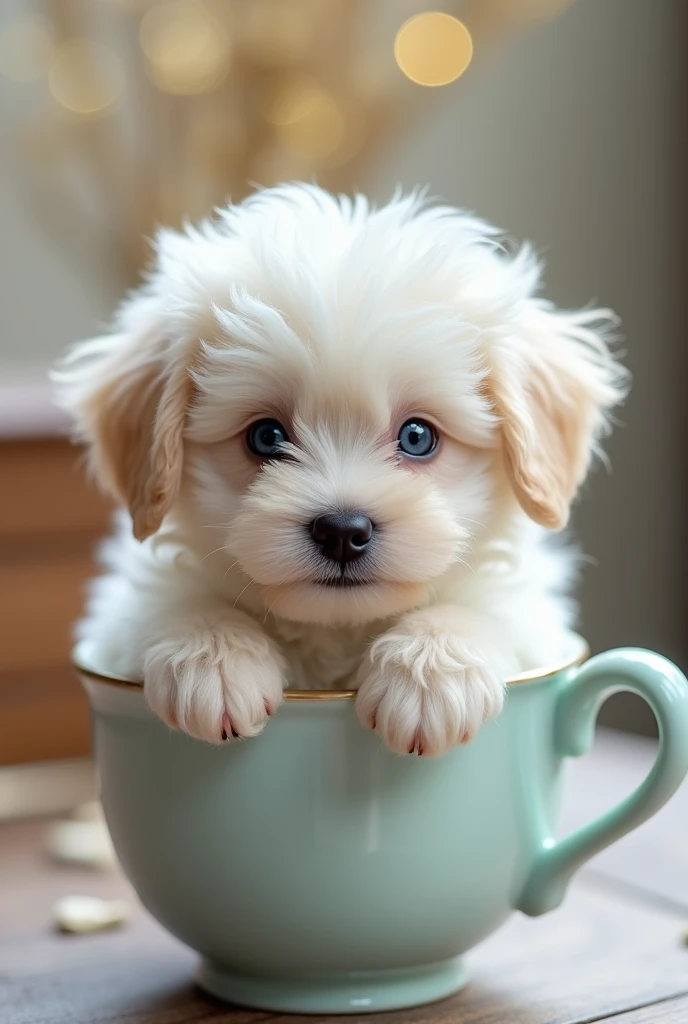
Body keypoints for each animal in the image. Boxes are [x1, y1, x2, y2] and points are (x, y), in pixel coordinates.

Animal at [55, 186, 630, 761]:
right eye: (266, 437)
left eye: (417, 437)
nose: (342, 531)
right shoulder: (115, 616)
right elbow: (166, 598)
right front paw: (212, 655)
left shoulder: (535, 621)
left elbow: (487, 606)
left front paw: (428, 670)